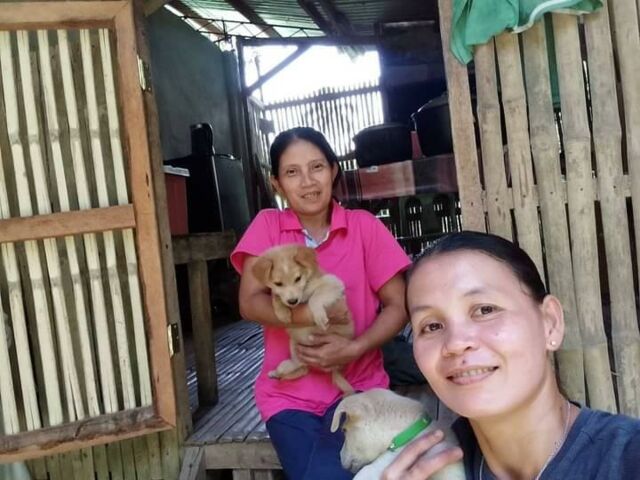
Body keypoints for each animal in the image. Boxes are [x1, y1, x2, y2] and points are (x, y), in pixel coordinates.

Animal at [252, 244, 355, 395]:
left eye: (298, 278)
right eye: (278, 283)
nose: (293, 301)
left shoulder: (333, 283)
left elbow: (316, 297)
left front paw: (319, 316)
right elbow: (275, 295)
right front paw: (282, 312)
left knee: (303, 369)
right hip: (294, 347)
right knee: (301, 368)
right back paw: (277, 373)